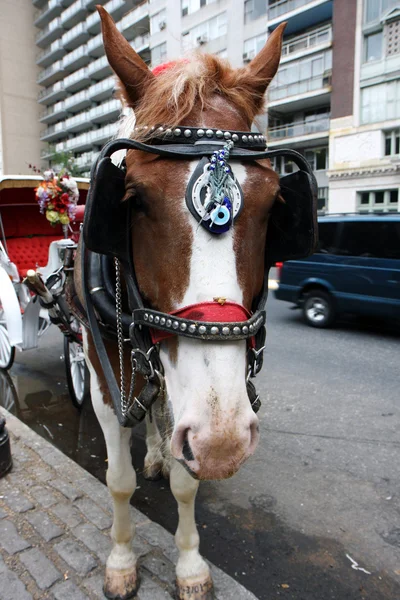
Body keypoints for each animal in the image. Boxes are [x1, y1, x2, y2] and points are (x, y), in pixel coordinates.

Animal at [76, 5, 286, 600]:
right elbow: (117, 481)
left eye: (275, 203)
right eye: (132, 200)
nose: (224, 443)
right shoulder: (105, 379)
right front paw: (122, 559)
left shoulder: (189, 396)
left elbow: (185, 481)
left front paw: (191, 565)